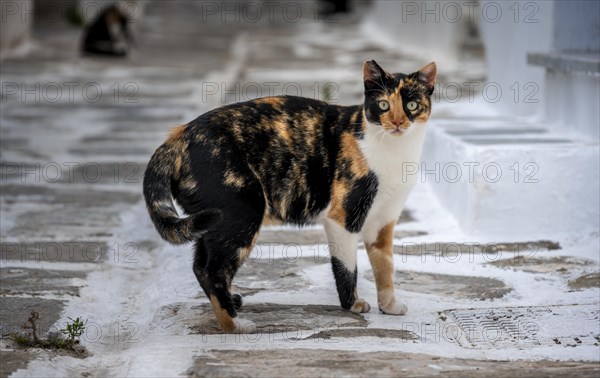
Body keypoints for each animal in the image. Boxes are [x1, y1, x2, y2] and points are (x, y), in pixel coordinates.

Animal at [145, 60, 436, 332]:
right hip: (243, 210)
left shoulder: (383, 220)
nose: (397, 122)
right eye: (383, 105)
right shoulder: (342, 217)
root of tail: (179, 134)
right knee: (213, 269)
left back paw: (231, 303)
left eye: (411, 105)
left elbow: (385, 265)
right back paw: (234, 324)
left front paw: (389, 305)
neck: (395, 151)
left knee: (200, 264)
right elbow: (346, 266)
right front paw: (352, 304)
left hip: (215, 220)